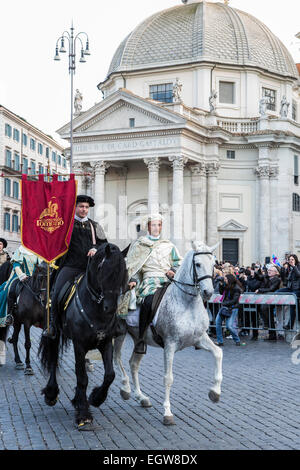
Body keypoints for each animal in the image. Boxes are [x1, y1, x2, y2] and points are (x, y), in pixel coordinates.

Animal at [38, 244, 127, 432]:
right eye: (101, 268)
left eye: (123, 271)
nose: (110, 308)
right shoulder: (79, 344)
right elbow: (82, 377)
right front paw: (83, 414)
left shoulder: (106, 343)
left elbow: (110, 374)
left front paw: (96, 398)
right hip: (54, 333)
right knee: (53, 360)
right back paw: (51, 393)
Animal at [113, 242, 224, 426]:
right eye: (197, 264)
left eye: (213, 264)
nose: (208, 292)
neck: (186, 303)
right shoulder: (170, 345)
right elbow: (168, 378)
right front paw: (167, 412)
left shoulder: (199, 339)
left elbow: (218, 353)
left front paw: (215, 392)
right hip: (119, 334)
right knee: (116, 358)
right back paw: (125, 388)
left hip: (139, 339)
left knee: (133, 364)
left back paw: (141, 397)